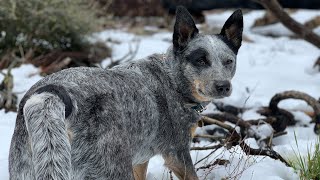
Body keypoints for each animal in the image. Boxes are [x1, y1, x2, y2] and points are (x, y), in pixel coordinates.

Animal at [8, 5, 242, 180]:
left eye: (229, 61)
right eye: (200, 60)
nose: (223, 86)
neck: (174, 80)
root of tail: (52, 93)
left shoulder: (139, 161)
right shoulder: (177, 152)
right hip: (110, 168)